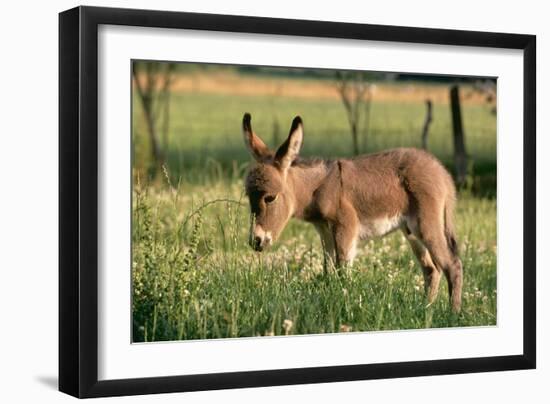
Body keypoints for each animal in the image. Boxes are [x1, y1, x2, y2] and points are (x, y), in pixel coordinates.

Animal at [244, 113, 464, 312]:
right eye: (248, 196)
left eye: (270, 198)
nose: (256, 241)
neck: (319, 187)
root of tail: (442, 173)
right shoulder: (324, 231)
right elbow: (329, 271)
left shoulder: (345, 227)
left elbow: (343, 271)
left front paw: (343, 305)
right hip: (410, 231)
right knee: (432, 269)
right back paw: (426, 309)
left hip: (426, 225)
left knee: (452, 265)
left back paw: (452, 314)